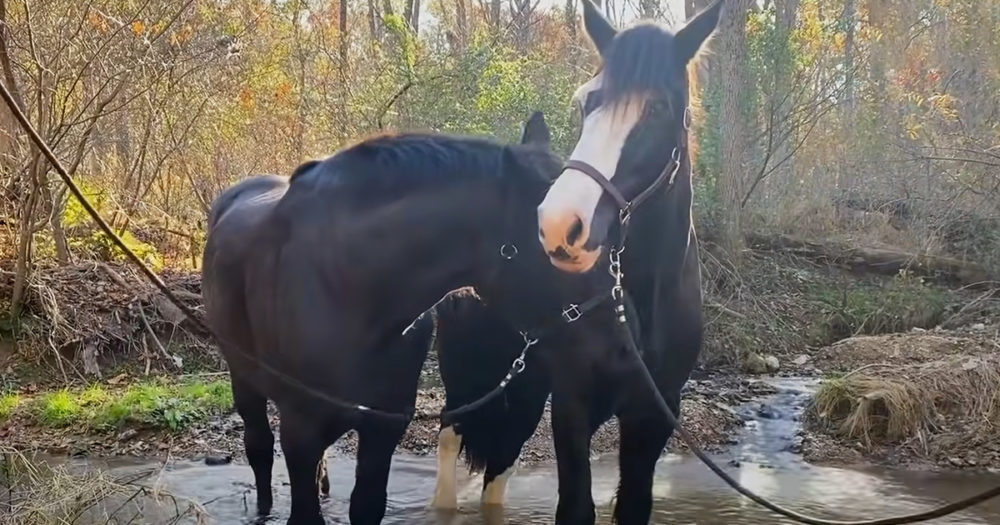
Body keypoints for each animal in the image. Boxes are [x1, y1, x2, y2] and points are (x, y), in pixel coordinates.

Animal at [201, 112, 621, 524]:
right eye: (570, 242)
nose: (616, 350)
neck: (346, 290)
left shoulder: (383, 428)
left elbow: (366, 505)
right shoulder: (300, 430)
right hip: (244, 380)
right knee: (259, 447)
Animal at [529, 1, 724, 523]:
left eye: (657, 108)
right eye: (585, 102)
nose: (560, 224)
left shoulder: (654, 415)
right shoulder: (572, 403)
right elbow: (576, 507)